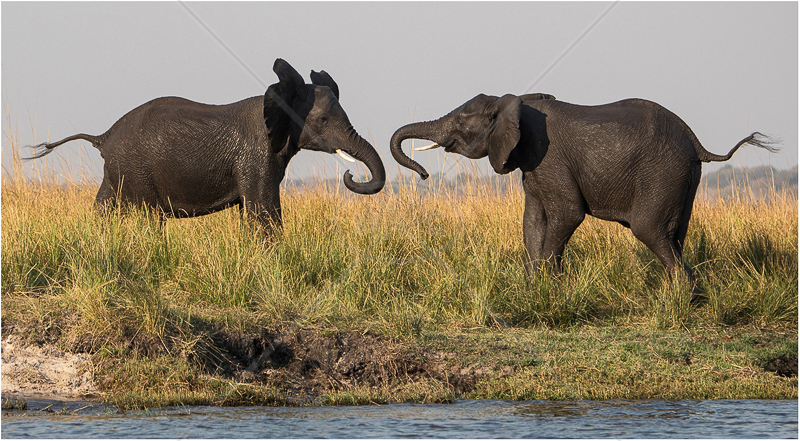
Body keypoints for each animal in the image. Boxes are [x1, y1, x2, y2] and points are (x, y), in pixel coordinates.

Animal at [28, 58, 384, 230]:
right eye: (323, 120)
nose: (351, 175)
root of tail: (104, 136)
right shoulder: (257, 154)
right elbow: (263, 210)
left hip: (118, 170)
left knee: (105, 209)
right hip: (136, 168)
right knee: (148, 217)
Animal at [390, 93, 780, 296]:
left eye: (460, 121)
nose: (424, 175)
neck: (513, 101)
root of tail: (696, 141)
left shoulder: (548, 156)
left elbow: (567, 213)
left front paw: (551, 289)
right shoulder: (532, 164)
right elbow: (533, 222)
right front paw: (536, 290)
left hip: (664, 171)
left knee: (649, 230)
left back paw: (683, 300)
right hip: (686, 177)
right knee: (675, 235)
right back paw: (686, 297)